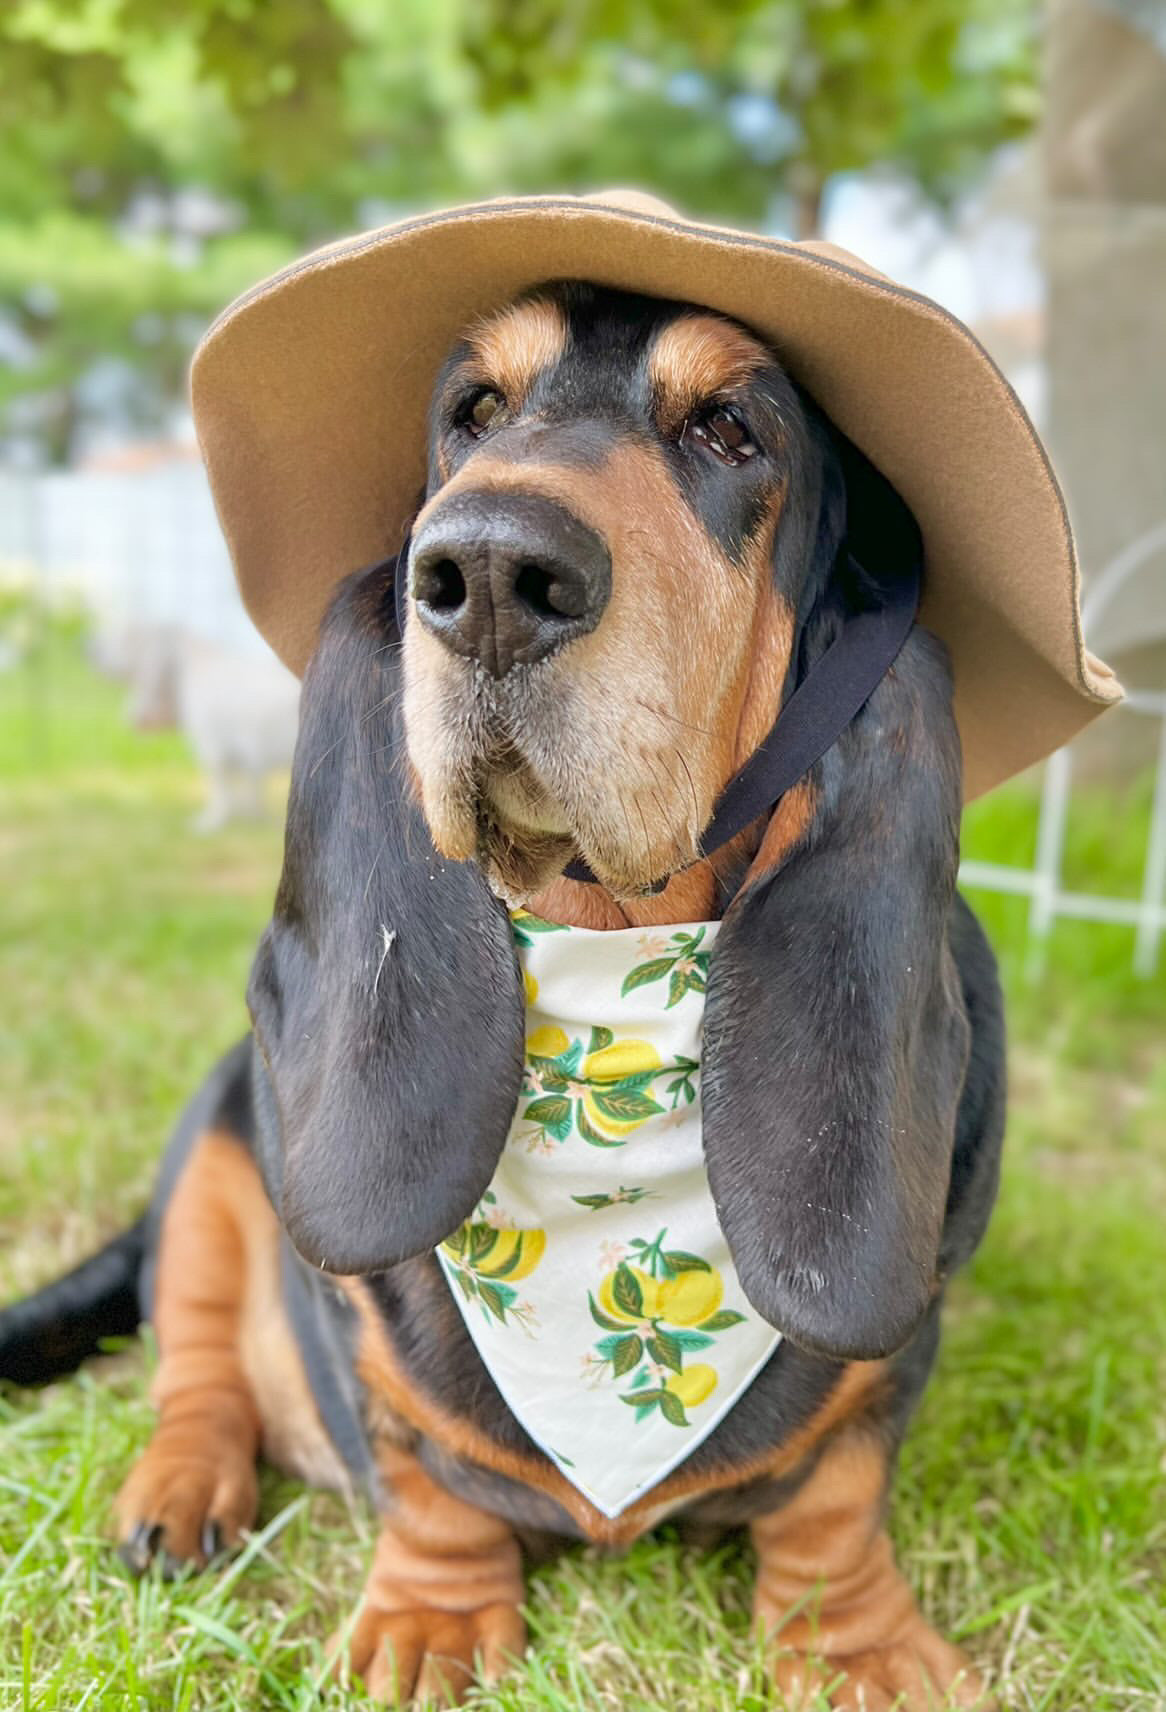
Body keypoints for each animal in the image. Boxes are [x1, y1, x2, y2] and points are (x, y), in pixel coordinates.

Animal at [0, 284, 999, 1712]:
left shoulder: (891, 1356)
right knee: (192, 1362)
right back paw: (176, 1494)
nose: (484, 577)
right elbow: (420, 1468)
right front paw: (429, 1623)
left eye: (731, 429)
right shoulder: (357, 1333)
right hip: (209, 1157)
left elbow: (837, 1484)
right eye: (472, 412)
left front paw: (857, 1642)